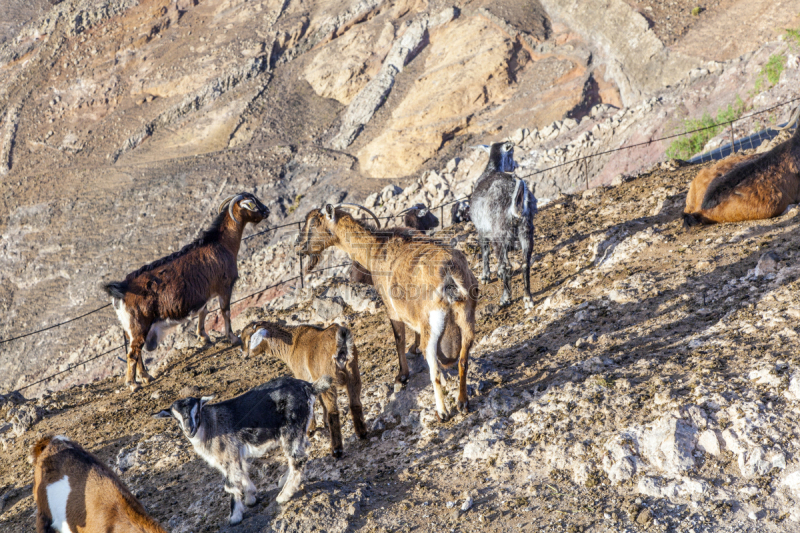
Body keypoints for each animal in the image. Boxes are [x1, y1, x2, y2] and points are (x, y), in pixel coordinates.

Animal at [103, 192, 268, 390]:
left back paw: (146, 377)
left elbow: (204, 311)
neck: (221, 243)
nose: (267, 211)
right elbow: (225, 312)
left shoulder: (204, 293)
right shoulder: (225, 287)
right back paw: (133, 384)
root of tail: (121, 290)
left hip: (132, 328)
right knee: (133, 353)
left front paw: (204, 337)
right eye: (253, 204)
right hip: (139, 324)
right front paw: (233, 338)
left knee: (137, 351)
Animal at [155, 376, 330, 520]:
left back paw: (284, 495)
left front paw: (235, 516)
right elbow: (242, 474)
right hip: (300, 428)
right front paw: (251, 497)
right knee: (301, 451)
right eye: (176, 419)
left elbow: (231, 485)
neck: (210, 426)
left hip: (292, 426)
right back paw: (283, 481)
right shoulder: (234, 455)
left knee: (298, 459)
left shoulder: (228, 454)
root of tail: (309, 386)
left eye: (197, 413)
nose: (189, 430)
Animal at [236, 318, 364, 460]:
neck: (293, 343)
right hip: (353, 373)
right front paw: (323, 423)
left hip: (331, 379)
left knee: (334, 412)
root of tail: (341, 345)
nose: (242, 354)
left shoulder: (303, 376)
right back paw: (362, 434)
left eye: (248, 339)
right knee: (355, 403)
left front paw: (310, 429)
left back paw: (336, 450)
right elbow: (320, 401)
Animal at [296, 204, 478, 420]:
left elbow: (399, 339)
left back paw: (442, 411)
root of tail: (450, 275)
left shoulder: (392, 309)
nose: (299, 246)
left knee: (434, 367)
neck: (376, 247)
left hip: (433, 322)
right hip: (466, 314)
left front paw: (402, 376)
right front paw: (414, 348)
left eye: (314, 223)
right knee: (463, 359)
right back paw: (462, 401)